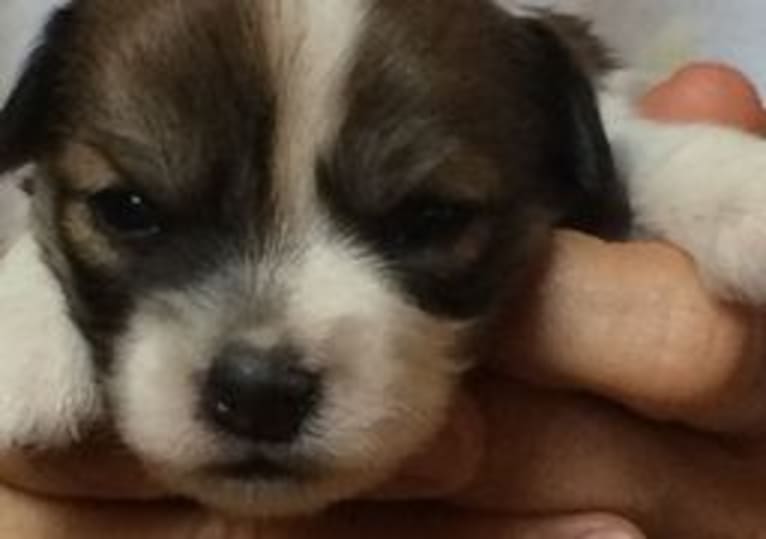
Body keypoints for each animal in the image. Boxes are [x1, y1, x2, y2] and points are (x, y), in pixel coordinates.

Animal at [0, 0, 764, 520]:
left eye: (429, 218)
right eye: (128, 208)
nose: (258, 394)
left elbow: (626, 137)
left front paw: (732, 186)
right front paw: (27, 331)